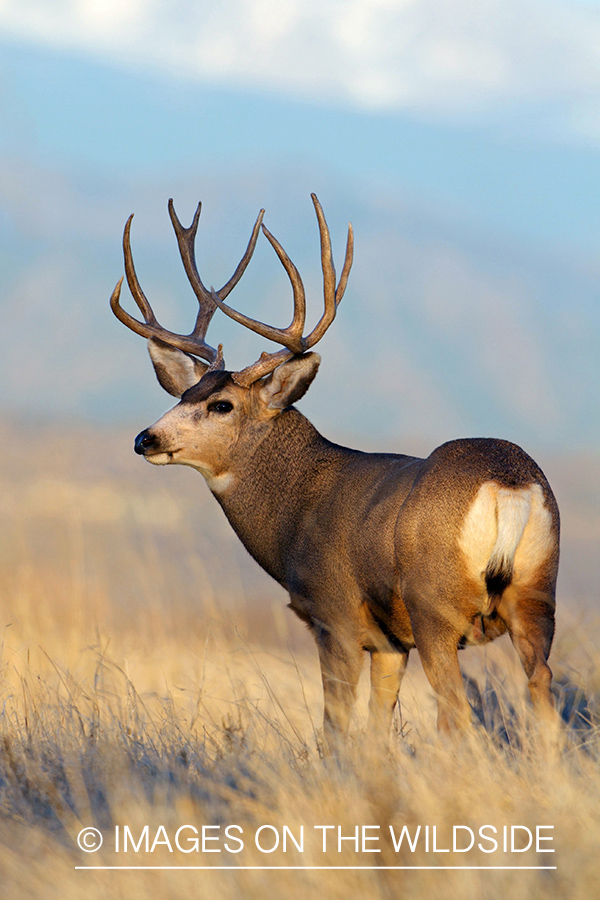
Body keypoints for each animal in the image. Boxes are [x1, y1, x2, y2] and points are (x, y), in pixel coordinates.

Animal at [110, 193, 560, 748]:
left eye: (221, 405)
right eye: (183, 394)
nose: (145, 438)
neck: (297, 509)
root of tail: (509, 484)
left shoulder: (335, 615)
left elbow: (336, 730)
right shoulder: (389, 643)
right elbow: (376, 734)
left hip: (435, 607)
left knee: (457, 715)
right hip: (537, 596)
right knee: (544, 698)